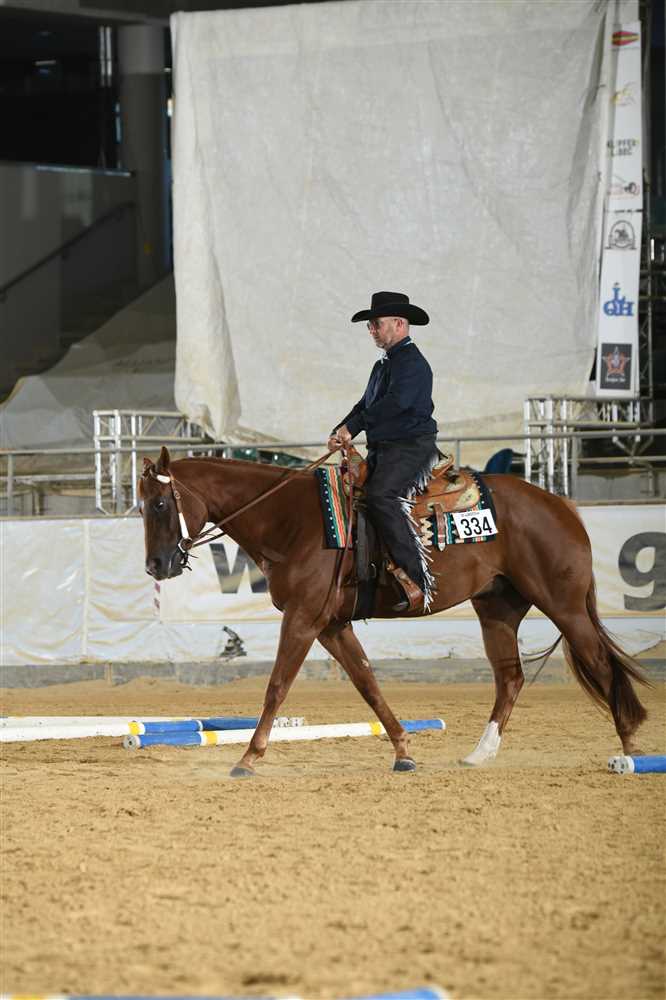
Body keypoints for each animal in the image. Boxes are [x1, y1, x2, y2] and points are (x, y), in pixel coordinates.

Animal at [139, 446, 648, 777]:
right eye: (141, 506)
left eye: (161, 503)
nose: (156, 566)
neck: (289, 519)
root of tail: (559, 503)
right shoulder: (331, 625)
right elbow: (368, 683)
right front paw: (404, 750)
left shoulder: (303, 618)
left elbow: (277, 685)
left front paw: (249, 756)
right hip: (497, 609)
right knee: (511, 678)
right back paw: (480, 754)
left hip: (564, 606)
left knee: (602, 665)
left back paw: (630, 750)